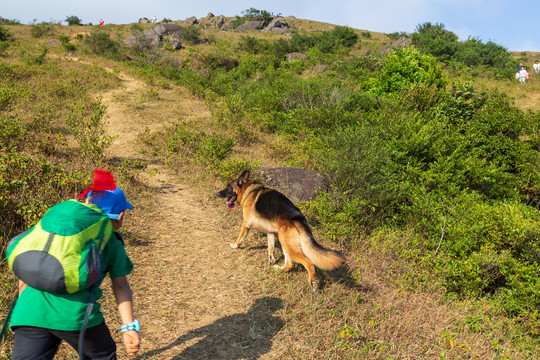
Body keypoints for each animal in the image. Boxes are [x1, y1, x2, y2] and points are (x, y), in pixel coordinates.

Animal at [216, 170, 346, 292]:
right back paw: (279, 269)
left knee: (309, 264)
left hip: (288, 245)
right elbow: (270, 248)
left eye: (228, 187)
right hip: (285, 243)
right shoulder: (270, 232)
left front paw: (235, 246)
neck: (247, 190)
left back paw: (313, 283)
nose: (217, 194)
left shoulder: (246, 224)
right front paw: (271, 260)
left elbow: (240, 238)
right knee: (289, 265)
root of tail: (298, 217)